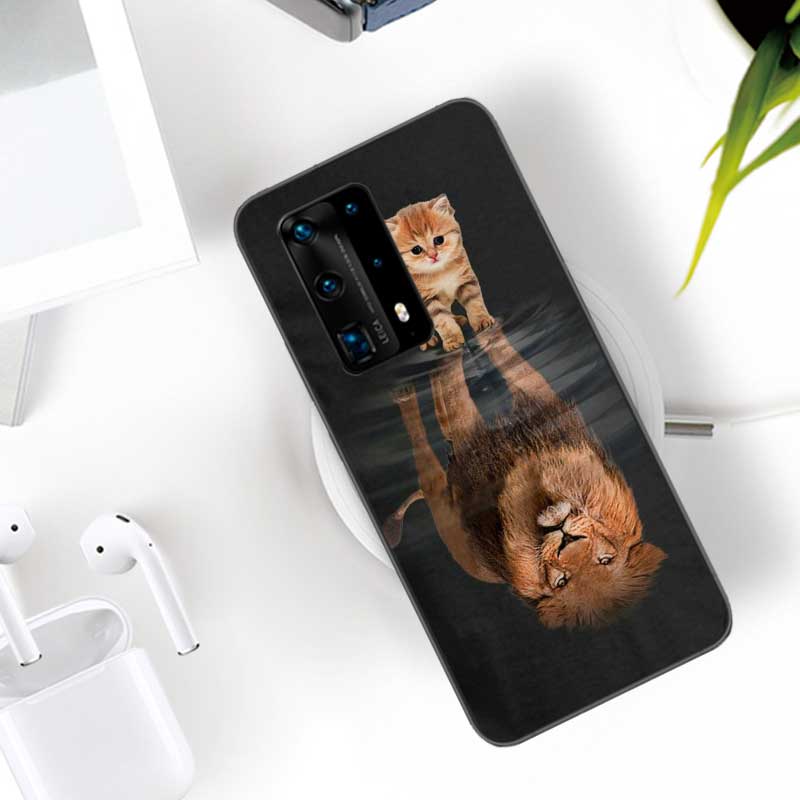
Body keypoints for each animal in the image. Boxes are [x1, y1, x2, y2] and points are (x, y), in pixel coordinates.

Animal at [384, 326, 666, 628]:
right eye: (562, 581)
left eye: (605, 560)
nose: (566, 539)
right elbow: (503, 370)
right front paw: (484, 336)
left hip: (454, 526)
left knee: (432, 464)